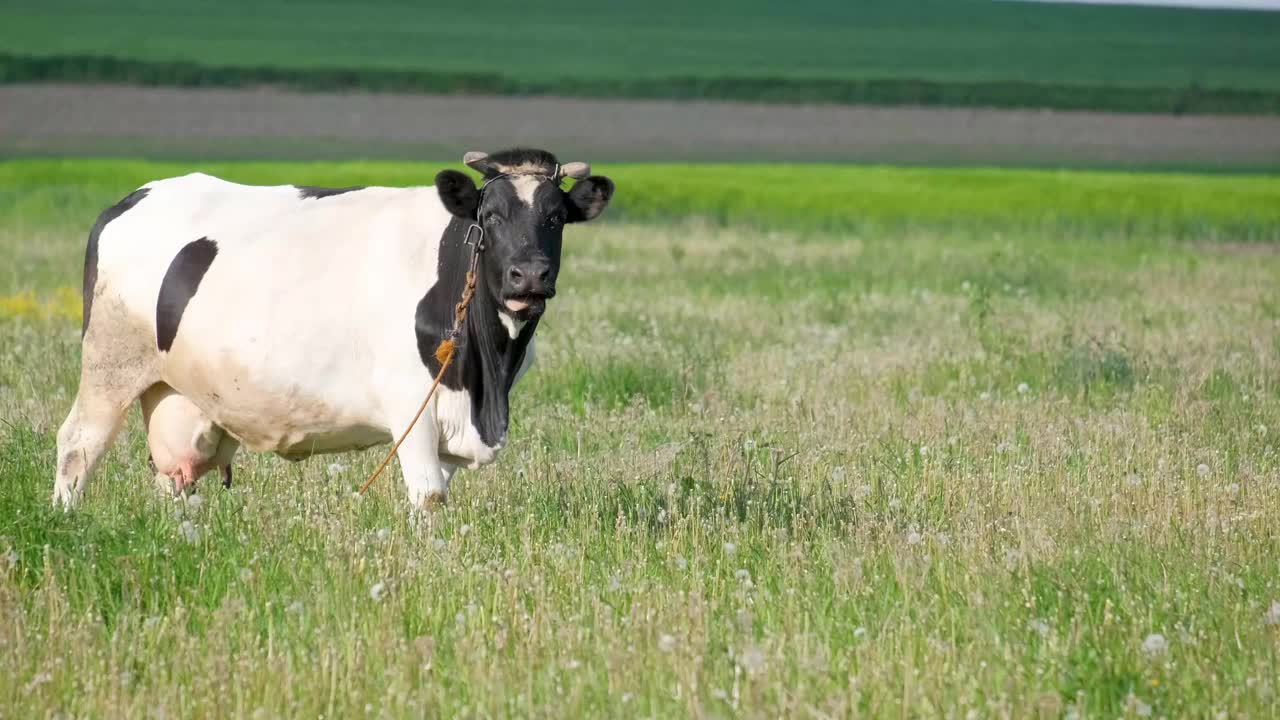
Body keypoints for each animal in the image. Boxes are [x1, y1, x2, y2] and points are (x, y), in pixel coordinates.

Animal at [57, 147, 616, 504]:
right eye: (492, 215)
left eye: (555, 218)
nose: (530, 275)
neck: (487, 378)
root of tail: (133, 197)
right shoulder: (409, 404)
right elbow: (429, 499)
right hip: (109, 363)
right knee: (77, 447)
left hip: (177, 395)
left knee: (172, 475)